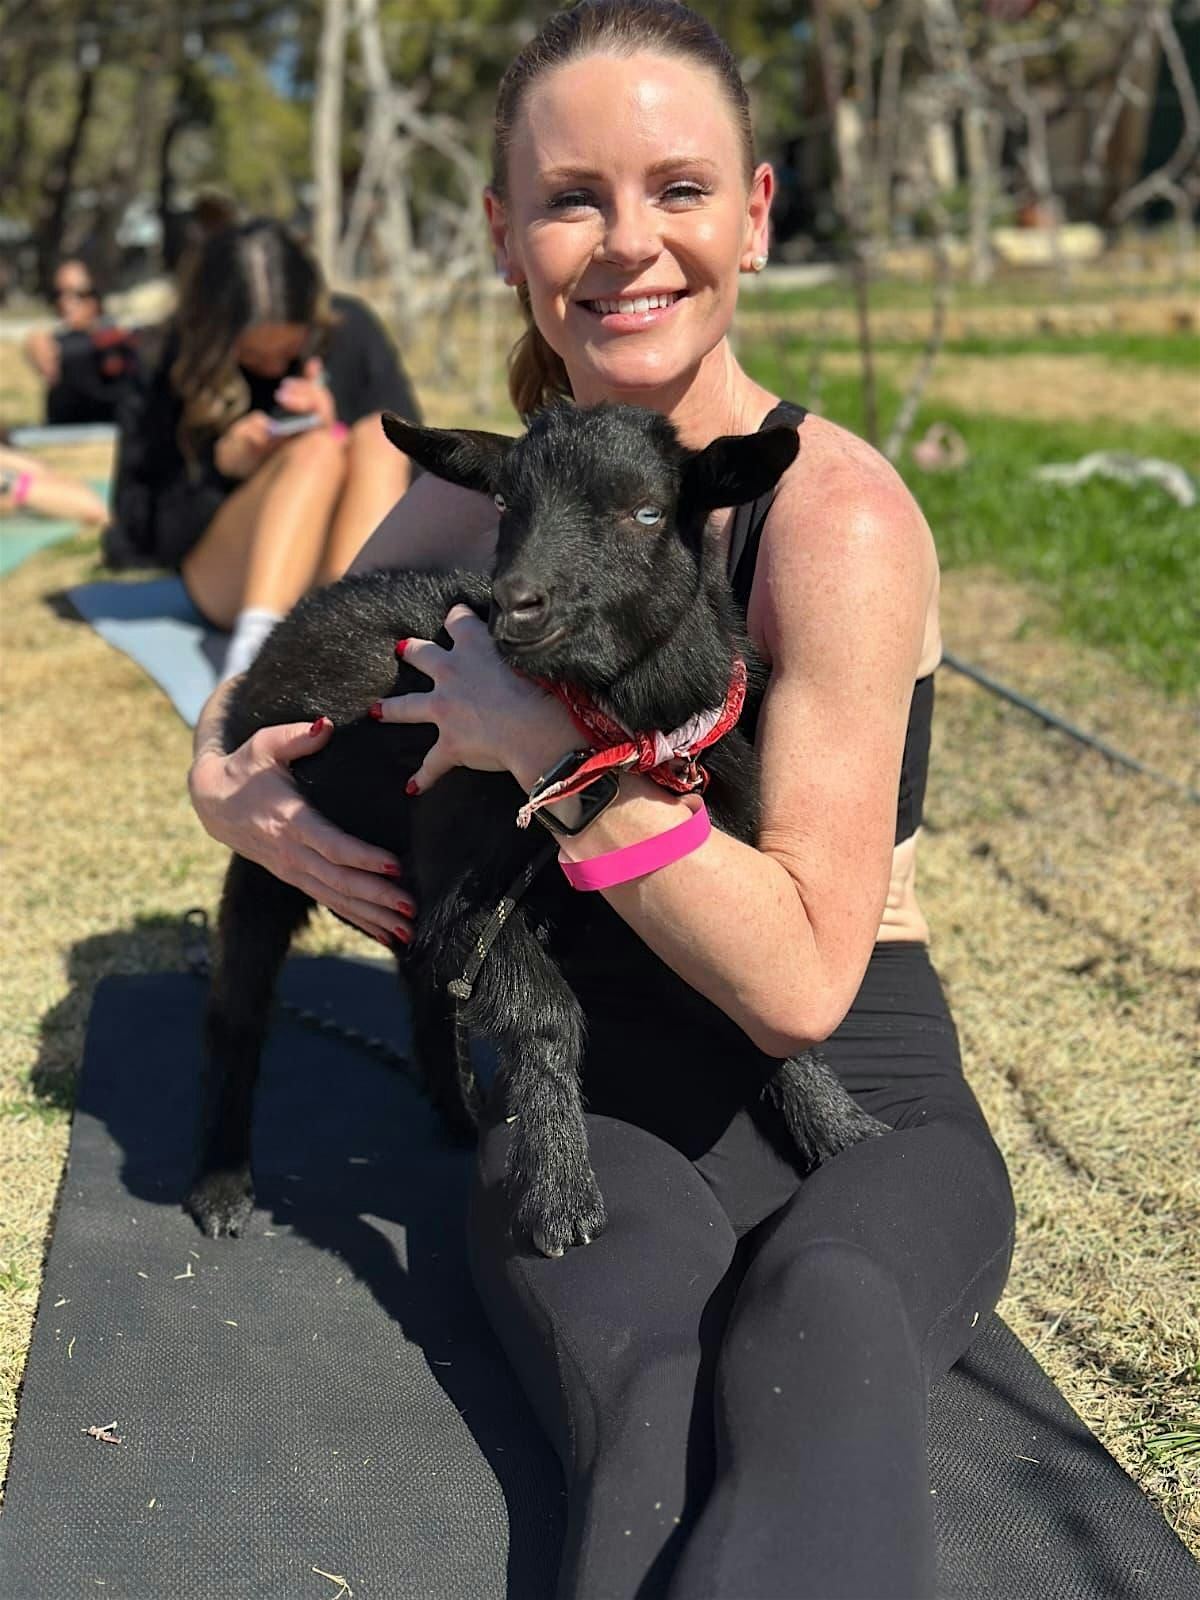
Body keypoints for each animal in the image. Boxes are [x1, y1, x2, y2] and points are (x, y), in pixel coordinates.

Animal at [187, 402, 884, 1256]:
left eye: (647, 511)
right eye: (503, 502)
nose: (519, 603)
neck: (623, 737)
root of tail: (306, 607)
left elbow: (758, 1010)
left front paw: (841, 1129)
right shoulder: (474, 891)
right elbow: (544, 1014)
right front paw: (561, 1195)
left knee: (422, 982)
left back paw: (458, 1111)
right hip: (266, 849)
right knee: (238, 1010)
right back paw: (222, 1184)